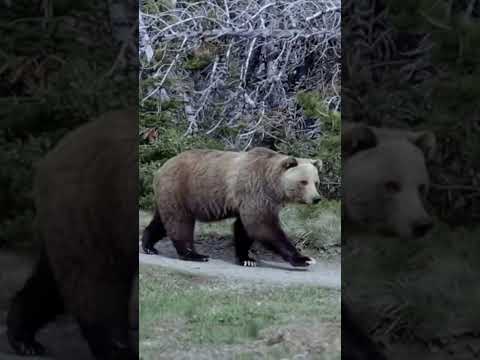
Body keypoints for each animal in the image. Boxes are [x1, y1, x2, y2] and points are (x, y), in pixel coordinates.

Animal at [142, 146, 322, 268]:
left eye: (316, 182)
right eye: (303, 182)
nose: (316, 198)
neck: (273, 186)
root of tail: (162, 167)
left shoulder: (254, 200)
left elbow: (244, 229)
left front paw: (246, 259)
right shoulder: (254, 191)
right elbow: (263, 226)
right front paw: (305, 259)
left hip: (169, 194)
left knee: (162, 221)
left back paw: (148, 246)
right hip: (180, 188)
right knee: (180, 222)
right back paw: (194, 254)